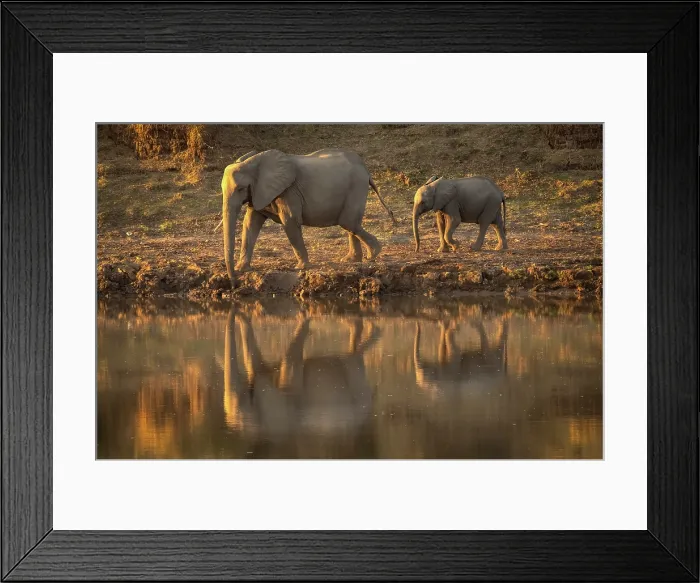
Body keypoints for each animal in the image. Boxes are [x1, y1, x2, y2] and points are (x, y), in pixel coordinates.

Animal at [220, 149, 395, 280]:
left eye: (241, 189)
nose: (233, 281)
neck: (253, 162)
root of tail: (366, 170)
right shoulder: (259, 192)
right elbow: (250, 223)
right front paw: (242, 269)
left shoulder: (288, 191)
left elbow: (290, 221)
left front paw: (300, 267)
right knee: (350, 224)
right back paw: (352, 260)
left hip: (357, 186)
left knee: (349, 222)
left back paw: (372, 255)